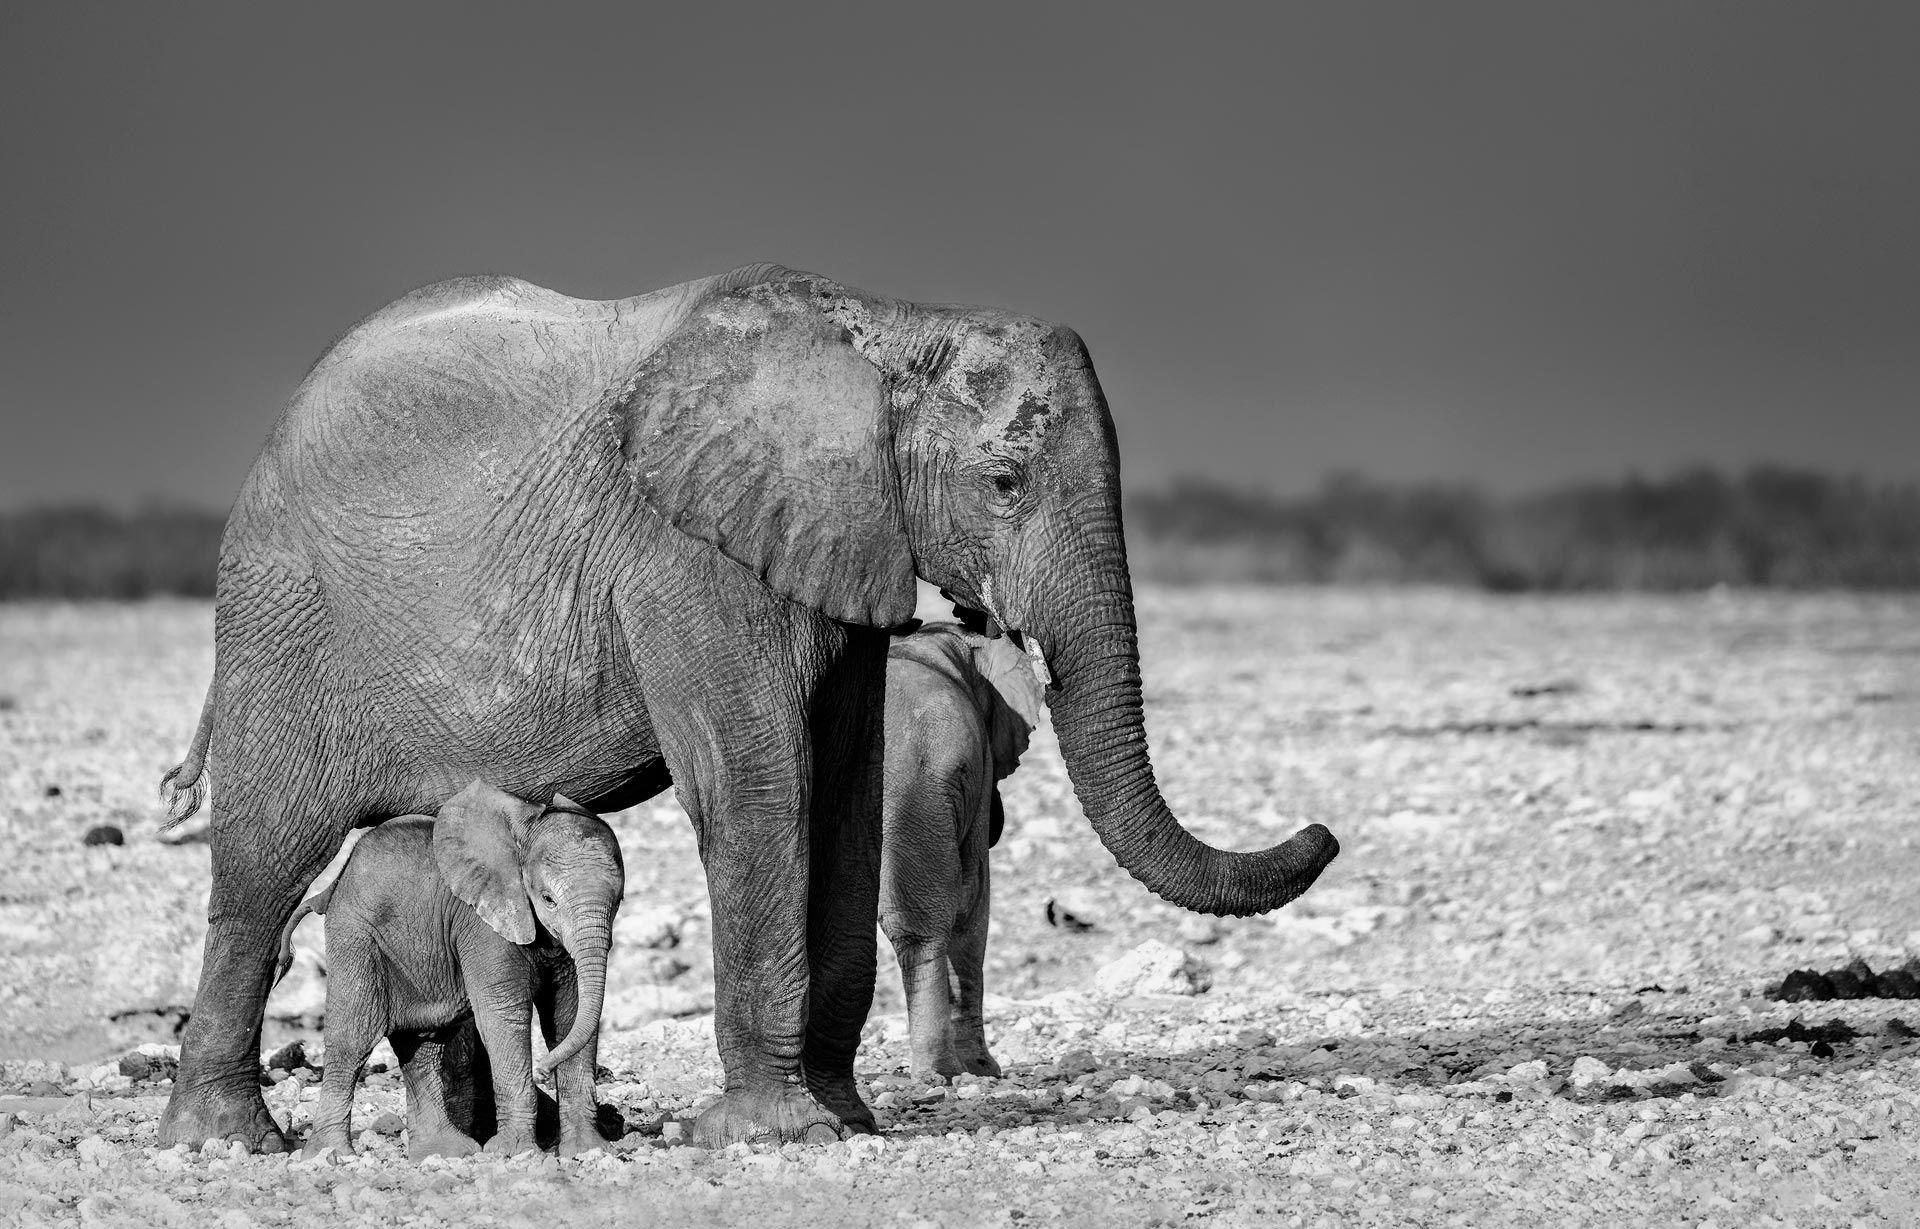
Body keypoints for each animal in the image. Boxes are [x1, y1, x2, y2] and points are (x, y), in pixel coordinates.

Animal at [271, 781, 624, 1158]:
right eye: (548, 900)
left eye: (618, 901)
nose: (543, 1070)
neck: (523, 832)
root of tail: (330, 889)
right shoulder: (482, 924)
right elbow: (504, 1013)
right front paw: (513, 1152)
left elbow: (568, 1013)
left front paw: (588, 1150)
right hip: (354, 934)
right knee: (354, 1036)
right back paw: (329, 1154)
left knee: (423, 1040)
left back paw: (443, 1152)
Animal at [880, 620, 1042, 1081]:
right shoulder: (978, 766)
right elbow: (974, 897)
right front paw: (985, 1070)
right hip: (914, 793)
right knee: (926, 926)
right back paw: (943, 1073)